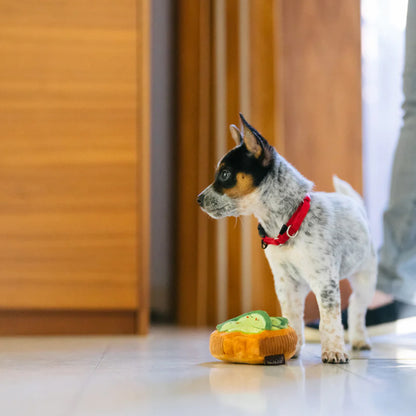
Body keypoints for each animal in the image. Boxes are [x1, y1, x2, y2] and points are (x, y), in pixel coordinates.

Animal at [198, 114, 376, 364]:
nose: (198, 199)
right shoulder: (286, 283)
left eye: (225, 174)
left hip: (365, 279)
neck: (287, 224)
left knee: (356, 309)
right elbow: (292, 317)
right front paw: (292, 347)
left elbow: (330, 321)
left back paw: (359, 340)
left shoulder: (325, 282)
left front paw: (334, 351)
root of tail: (354, 204)